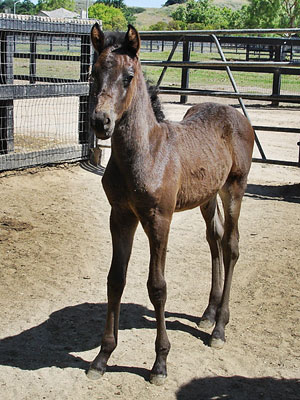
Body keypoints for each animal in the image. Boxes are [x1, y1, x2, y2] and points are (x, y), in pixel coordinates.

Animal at [86, 24, 253, 384]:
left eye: (128, 77)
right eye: (93, 74)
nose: (100, 122)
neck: (146, 153)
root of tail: (232, 112)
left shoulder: (158, 219)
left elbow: (157, 286)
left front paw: (160, 363)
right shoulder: (120, 215)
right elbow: (115, 279)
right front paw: (102, 357)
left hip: (235, 187)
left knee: (231, 245)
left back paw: (219, 328)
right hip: (207, 196)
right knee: (214, 239)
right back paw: (208, 313)